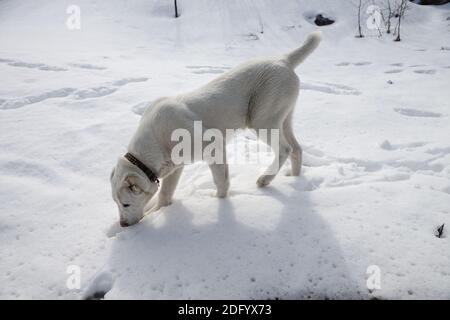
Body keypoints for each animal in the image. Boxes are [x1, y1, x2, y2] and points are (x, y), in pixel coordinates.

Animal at [110, 31, 320, 226]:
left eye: (126, 204)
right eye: (116, 203)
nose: (122, 224)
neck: (156, 142)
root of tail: (284, 59)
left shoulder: (213, 145)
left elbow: (221, 180)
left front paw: (219, 201)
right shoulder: (176, 165)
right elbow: (165, 194)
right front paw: (158, 211)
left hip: (263, 120)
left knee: (285, 148)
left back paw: (265, 179)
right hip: (284, 118)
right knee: (297, 149)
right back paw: (294, 179)